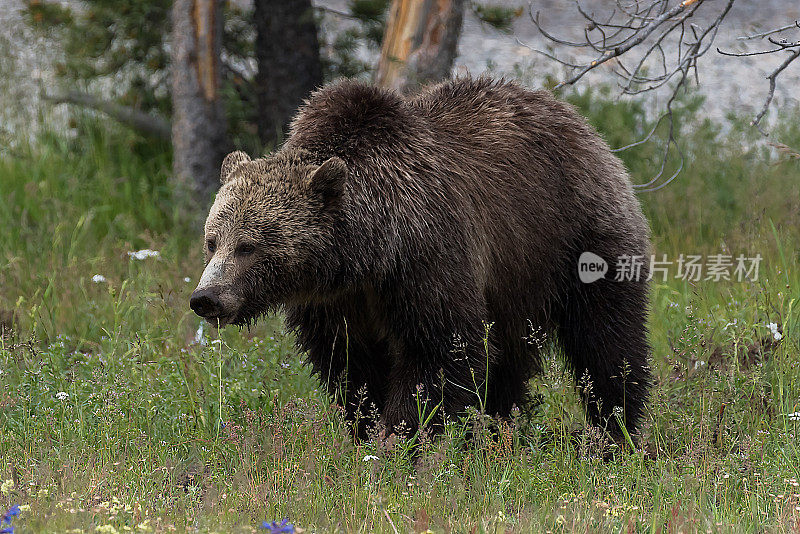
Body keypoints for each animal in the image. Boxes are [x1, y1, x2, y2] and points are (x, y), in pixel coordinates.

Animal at [191, 77, 652, 442]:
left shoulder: (426, 257)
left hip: (574, 236)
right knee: (509, 356)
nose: (206, 297)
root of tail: (576, 118)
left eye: (248, 246)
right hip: (515, 282)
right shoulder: (336, 304)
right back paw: (499, 425)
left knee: (606, 339)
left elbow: (439, 353)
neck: (363, 256)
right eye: (213, 241)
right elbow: (351, 366)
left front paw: (402, 439)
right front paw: (367, 429)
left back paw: (614, 431)